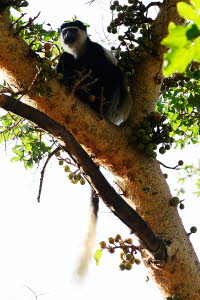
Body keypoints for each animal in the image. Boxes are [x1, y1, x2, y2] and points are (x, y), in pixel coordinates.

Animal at [56, 19, 131, 276]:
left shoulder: (97, 52)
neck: (80, 51)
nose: (66, 34)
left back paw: (92, 100)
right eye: (64, 31)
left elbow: (108, 71)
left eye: (72, 29)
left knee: (111, 76)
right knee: (66, 60)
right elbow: (64, 59)